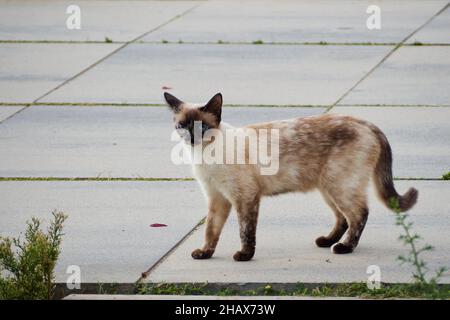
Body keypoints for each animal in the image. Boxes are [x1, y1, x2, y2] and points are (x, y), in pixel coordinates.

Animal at [164, 91, 418, 262]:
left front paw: (244, 255)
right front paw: (205, 253)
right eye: (182, 125)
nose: (191, 137)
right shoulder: (217, 199)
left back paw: (344, 247)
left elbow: (245, 231)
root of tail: (365, 122)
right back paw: (327, 241)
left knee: (359, 214)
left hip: (339, 186)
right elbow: (211, 230)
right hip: (328, 189)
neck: (204, 155)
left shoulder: (245, 197)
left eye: (202, 127)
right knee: (343, 218)